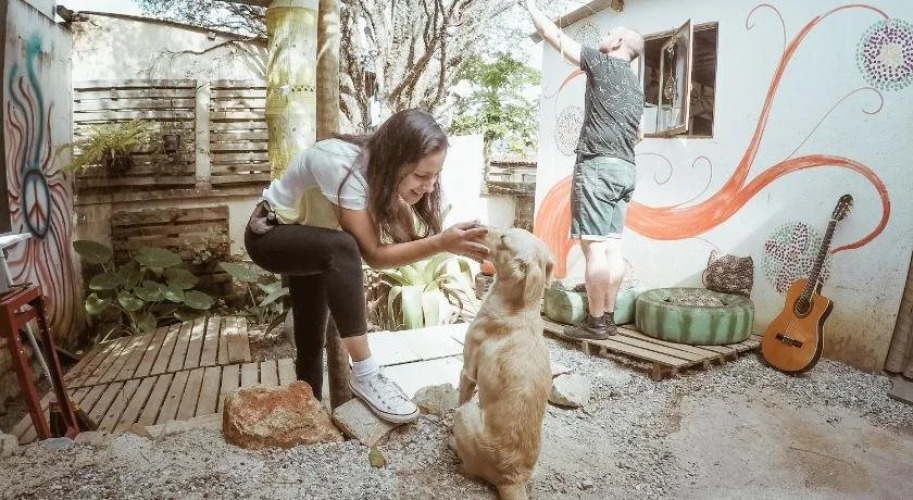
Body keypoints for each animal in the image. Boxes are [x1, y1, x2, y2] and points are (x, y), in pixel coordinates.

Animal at [451, 227, 555, 500]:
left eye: (504, 240)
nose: (482, 228)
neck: (521, 309)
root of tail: (512, 478)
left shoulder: (468, 371)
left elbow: (460, 397)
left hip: (466, 414)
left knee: (467, 464)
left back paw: (452, 444)